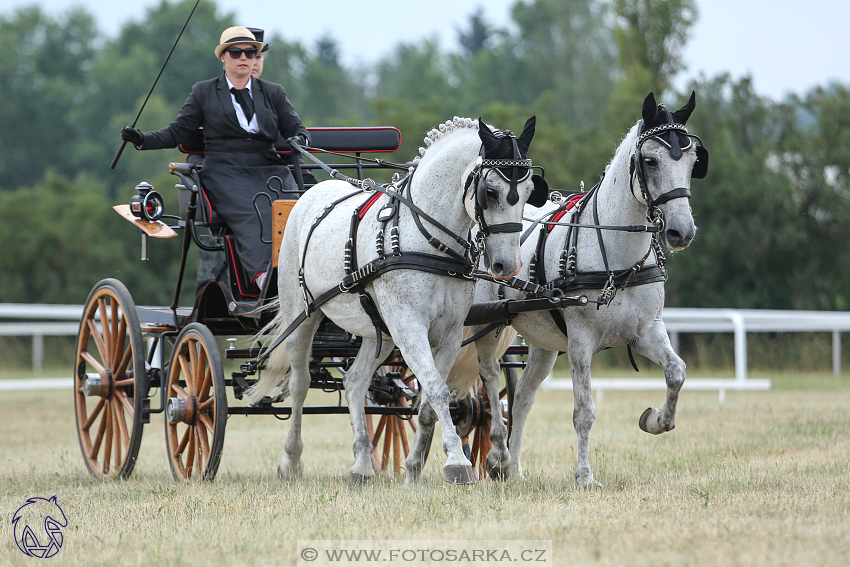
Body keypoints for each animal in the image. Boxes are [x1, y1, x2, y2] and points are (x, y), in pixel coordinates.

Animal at [248, 114, 548, 484]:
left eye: (528, 193)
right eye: (489, 191)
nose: (508, 265)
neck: (429, 241)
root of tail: (309, 194)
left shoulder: (448, 333)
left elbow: (431, 398)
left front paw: (414, 467)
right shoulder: (409, 326)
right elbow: (436, 389)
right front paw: (457, 461)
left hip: (381, 331)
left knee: (355, 380)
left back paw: (363, 464)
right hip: (302, 314)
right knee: (300, 383)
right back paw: (291, 461)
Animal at [468, 93, 704, 488]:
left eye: (691, 161)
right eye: (650, 160)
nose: (681, 232)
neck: (616, 253)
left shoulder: (646, 330)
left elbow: (677, 372)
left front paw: (655, 419)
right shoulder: (580, 341)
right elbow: (584, 412)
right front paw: (584, 476)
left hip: (544, 342)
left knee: (523, 397)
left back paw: (513, 468)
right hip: (486, 326)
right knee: (487, 379)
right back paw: (497, 454)